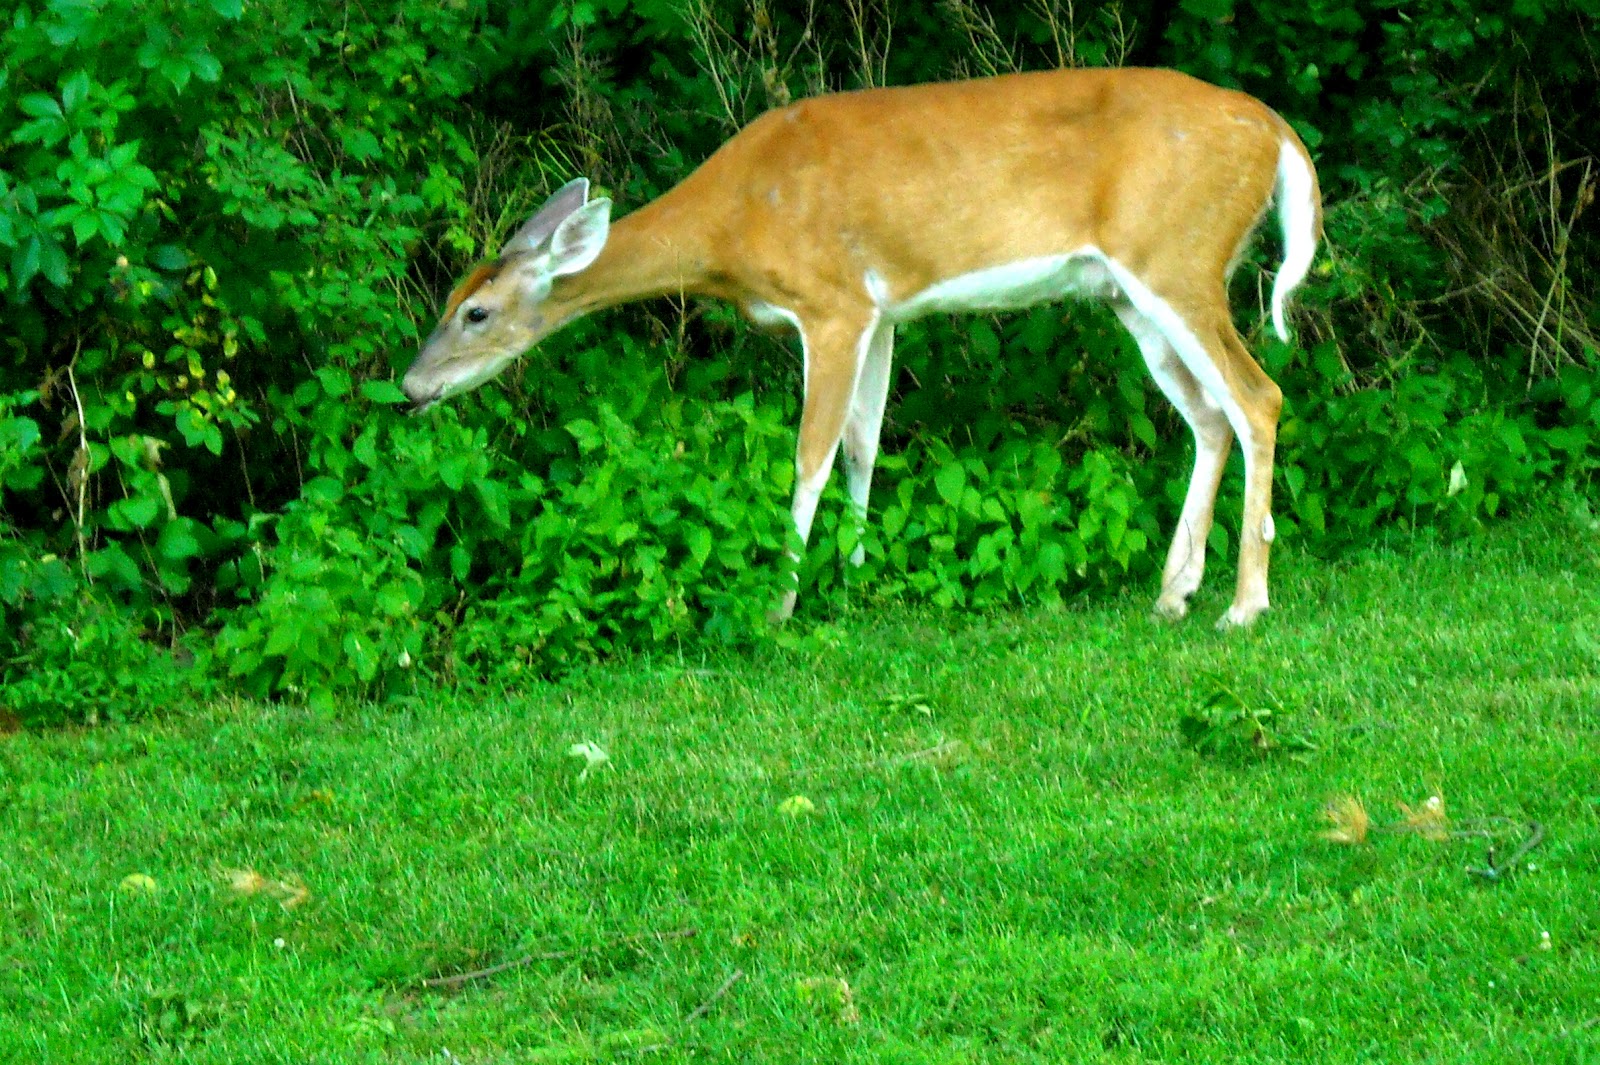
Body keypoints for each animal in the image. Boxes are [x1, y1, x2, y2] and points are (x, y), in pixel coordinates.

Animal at [402, 66, 1322, 628]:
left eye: (476, 312)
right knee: (1209, 416)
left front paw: (779, 603)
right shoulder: (884, 314)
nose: (410, 387)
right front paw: (852, 578)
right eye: (447, 301)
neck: (733, 223)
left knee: (1259, 397)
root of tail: (1276, 131)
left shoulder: (834, 303)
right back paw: (1174, 593)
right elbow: (864, 445)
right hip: (1131, 291)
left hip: (1178, 258)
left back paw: (1245, 604)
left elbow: (809, 455)